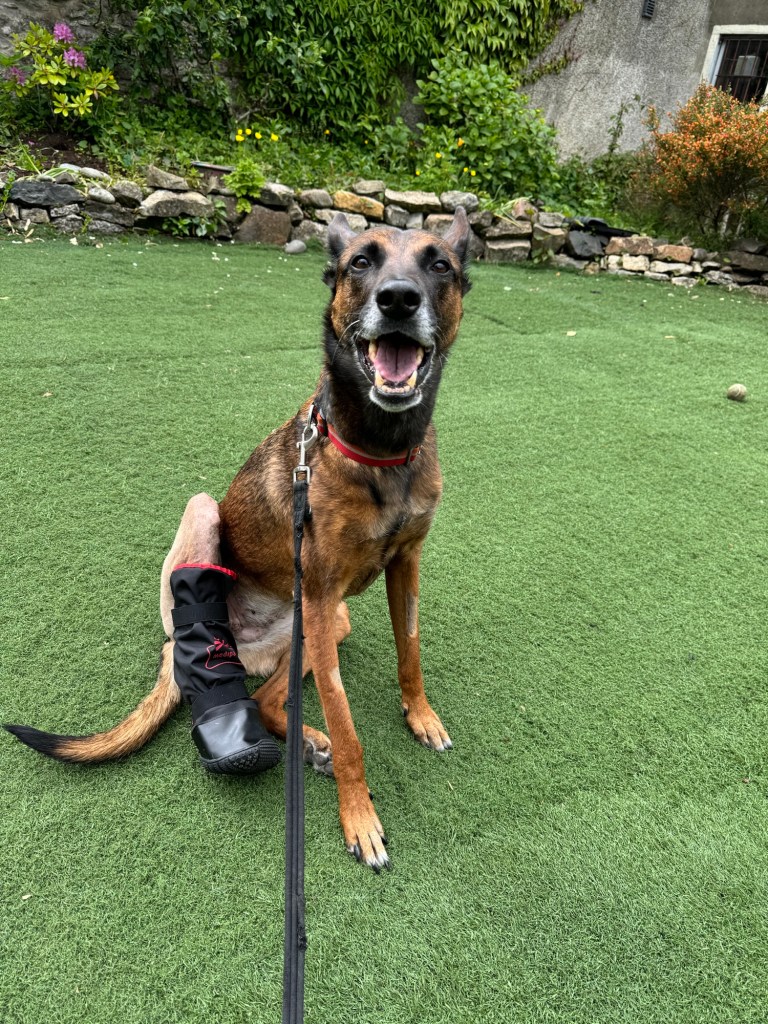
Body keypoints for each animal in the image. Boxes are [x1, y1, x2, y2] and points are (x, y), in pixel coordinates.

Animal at [6, 207, 472, 871]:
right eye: (362, 261)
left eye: (440, 265)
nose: (399, 299)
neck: (381, 449)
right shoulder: (323, 591)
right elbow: (350, 729)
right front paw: (359, 816)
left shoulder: (405, 564)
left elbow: (410, 650)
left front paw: (421, 715)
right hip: (223, 534)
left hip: (324, 629)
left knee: (272, 700)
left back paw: (306, 741)